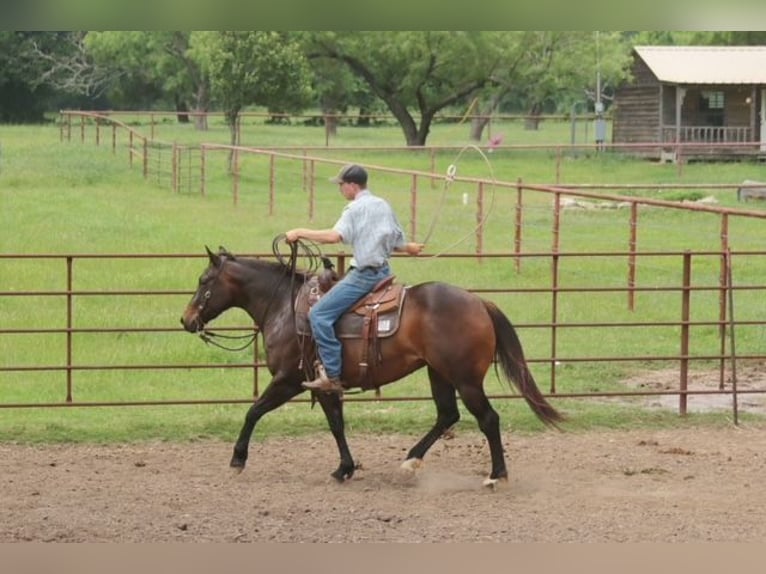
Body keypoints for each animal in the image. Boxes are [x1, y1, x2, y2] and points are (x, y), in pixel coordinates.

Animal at [180, 245, 563, 487]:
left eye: (203, 281)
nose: (186, 320)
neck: (285, 307)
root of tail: (480, 302)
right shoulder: (324, 385)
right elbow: (336, 424)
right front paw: (345, 469)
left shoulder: (288, 379)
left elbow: (254, 411)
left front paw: (238, 459)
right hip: (438, 373)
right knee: (447, 415)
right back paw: (410, 461)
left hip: (466, 379)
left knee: (488, 419)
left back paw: (497, 475)